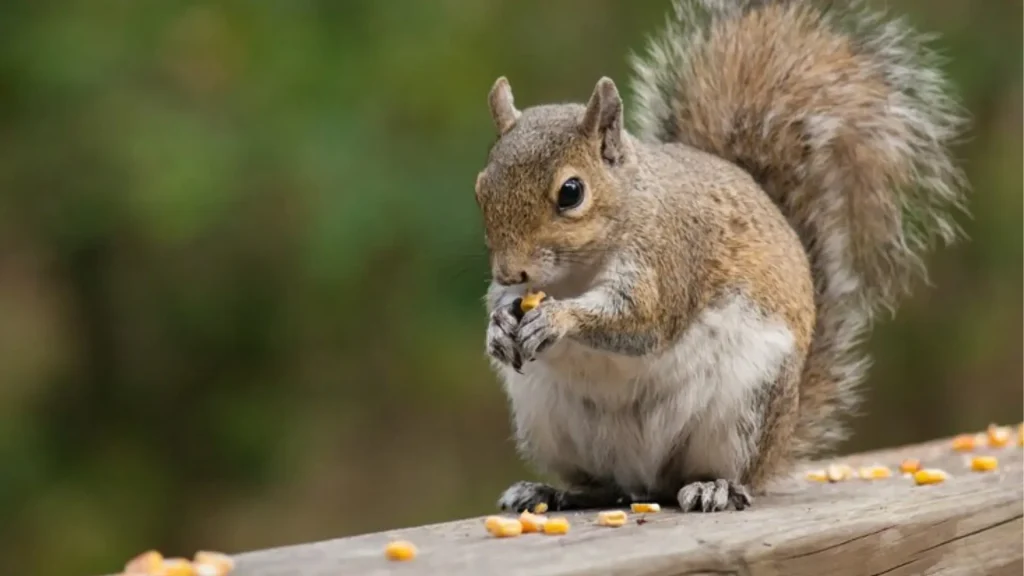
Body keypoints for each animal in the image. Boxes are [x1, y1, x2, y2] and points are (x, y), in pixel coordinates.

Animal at [474, 0, 968, 513]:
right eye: (481, 187)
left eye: (571, 192)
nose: (508, 270)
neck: (578, 270)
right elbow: (506, 305)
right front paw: (498, 326)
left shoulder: (670, 258)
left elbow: (642, 320)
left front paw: (557, 319)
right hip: (548, 420)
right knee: (604, 485)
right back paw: (551, 491)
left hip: (745, 409)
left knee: (717, 473)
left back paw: (715, 486)